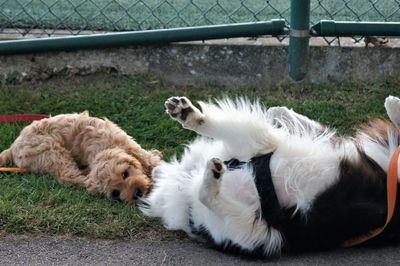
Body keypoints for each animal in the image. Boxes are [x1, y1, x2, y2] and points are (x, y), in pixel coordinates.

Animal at [0, 111, 162, 203]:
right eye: (115, 193)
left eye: (125, 174)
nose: (136, 194)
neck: (102, 147)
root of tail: (13, 147)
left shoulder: (127, 143)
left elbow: (148, 159)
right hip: (50, 151)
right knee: (68, 176)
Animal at [140, 95, 400, 256]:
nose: (153, 170)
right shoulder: (252, 231)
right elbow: (207, 196)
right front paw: (212, 176)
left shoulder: (254, 147)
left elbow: (221, 127)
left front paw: (189, 115)